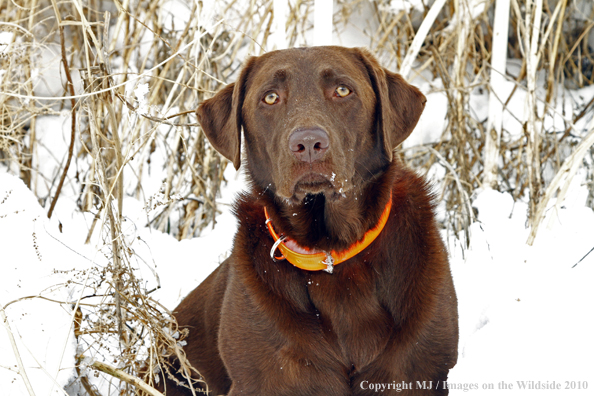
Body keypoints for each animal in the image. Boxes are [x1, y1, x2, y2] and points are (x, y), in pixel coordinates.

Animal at [161, 45, 458, 392]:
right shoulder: (261, 378)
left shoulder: (420, 368)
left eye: (342, 90)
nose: (308, 144)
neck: (331, 250)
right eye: (270, 97)